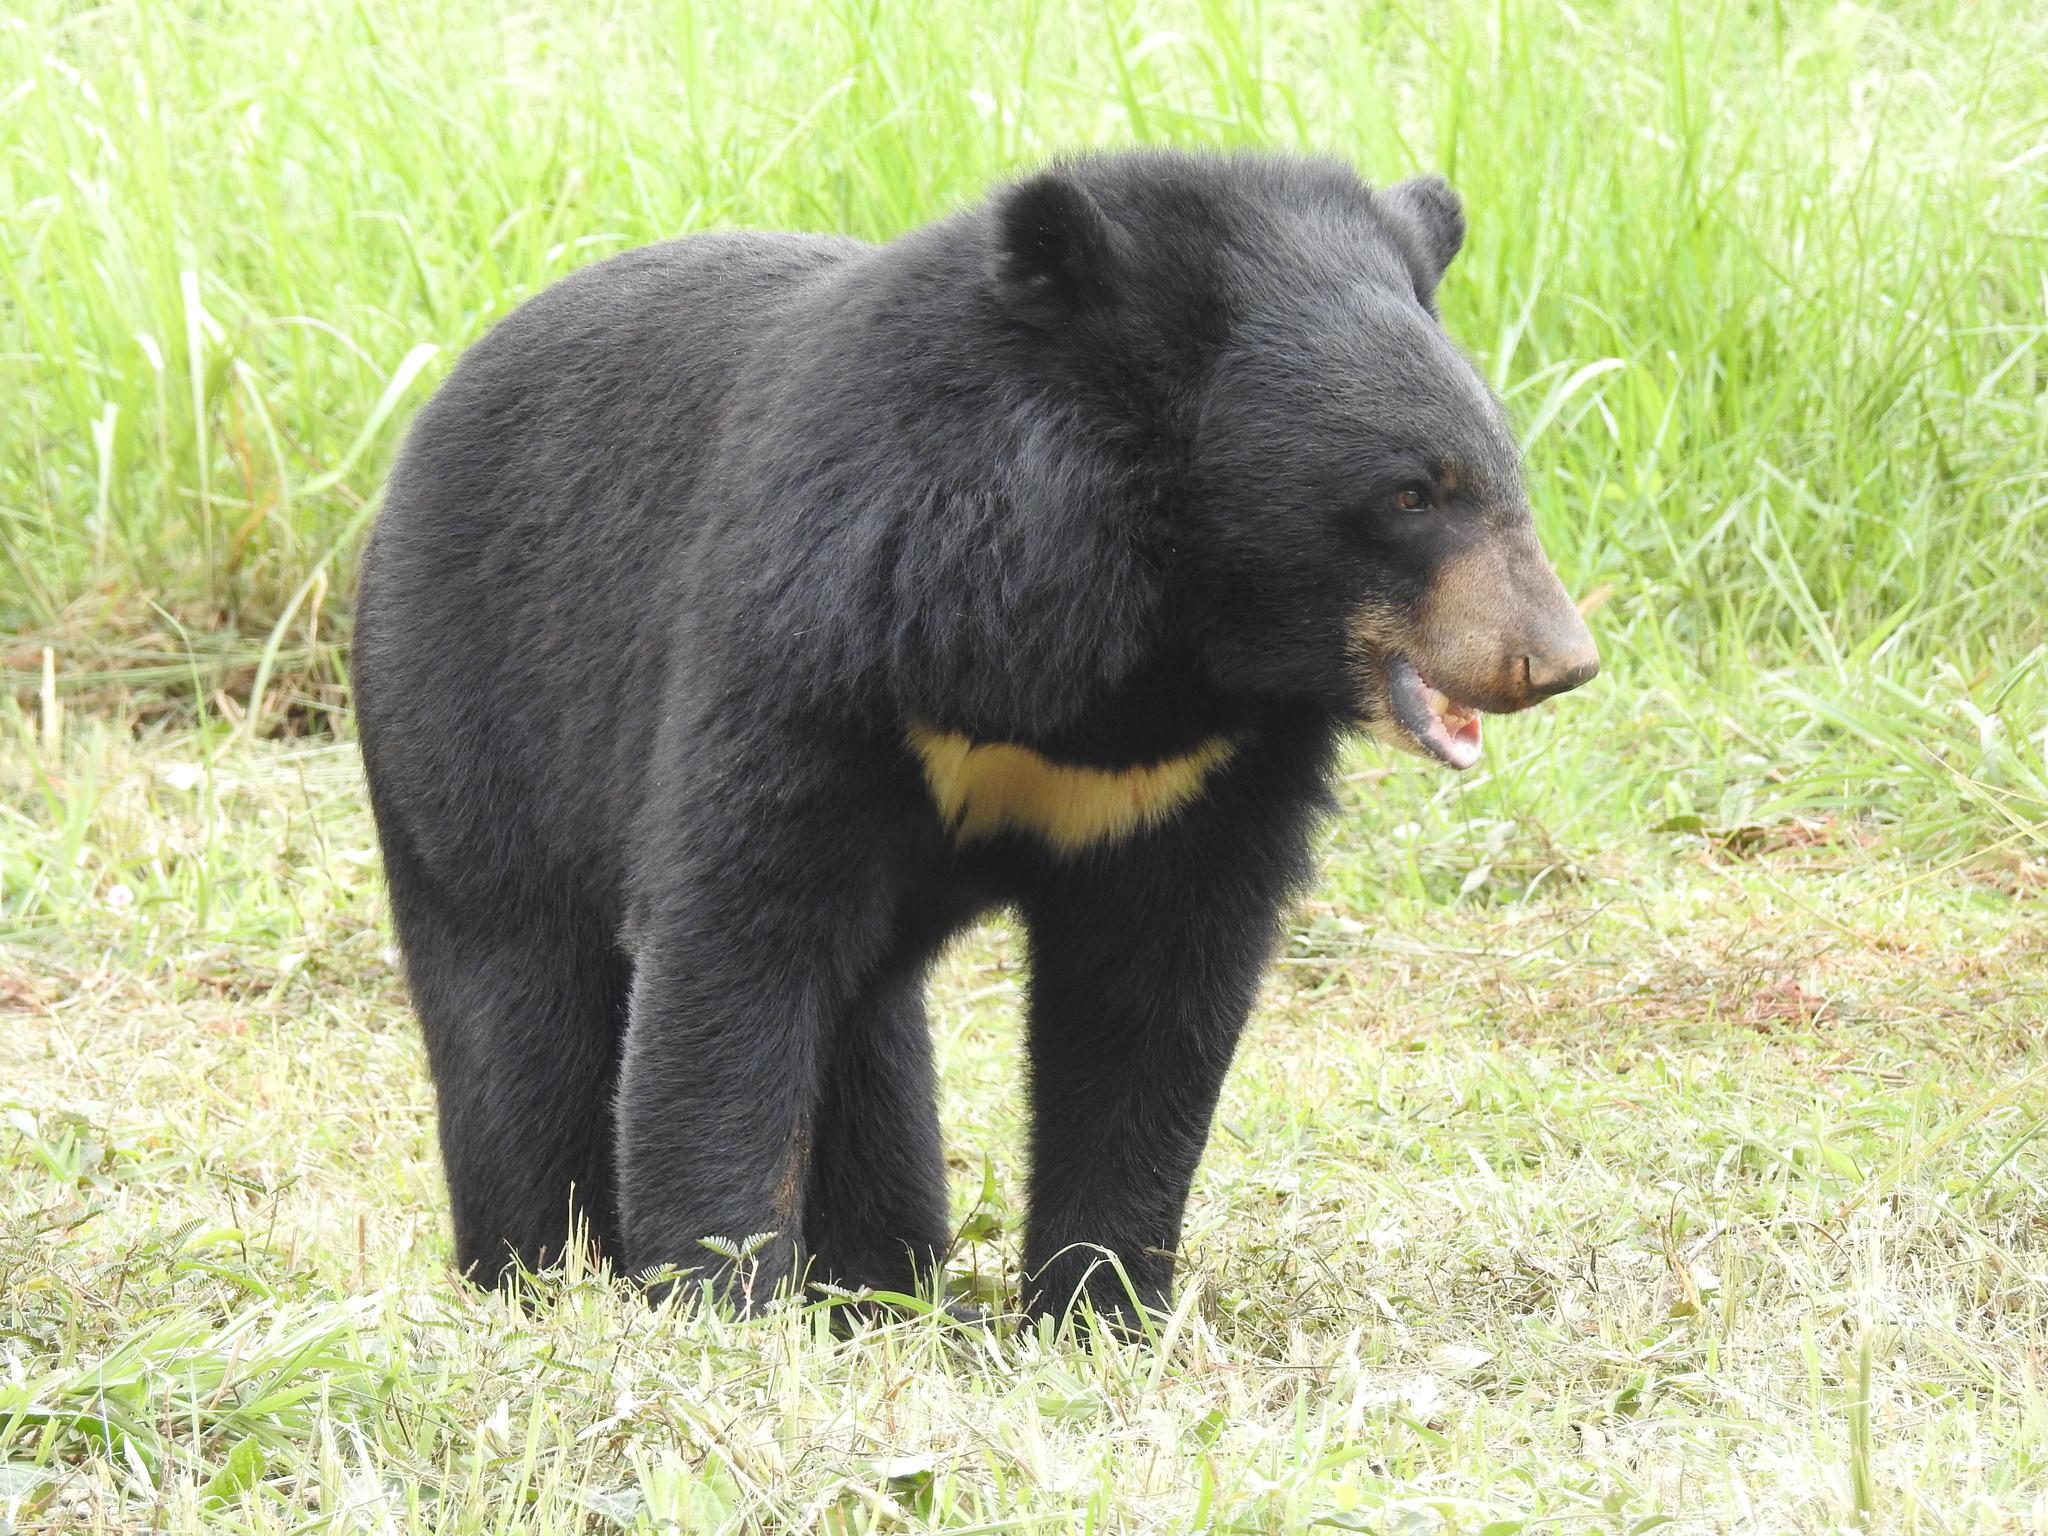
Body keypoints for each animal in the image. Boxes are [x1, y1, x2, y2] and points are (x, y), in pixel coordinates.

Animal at [350, 149, 1599, 1327]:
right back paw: (533, 1271)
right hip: (471, 720)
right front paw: (717, 1300)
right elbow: (734, 935)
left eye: (1504, 477)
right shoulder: (826, 632)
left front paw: (1100, 1308)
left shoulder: (1201, 771)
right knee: (518, 1011)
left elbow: (1152, 995)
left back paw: (881, 1285)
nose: (1554, 659)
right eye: (1409, 493)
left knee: (870, 1043)